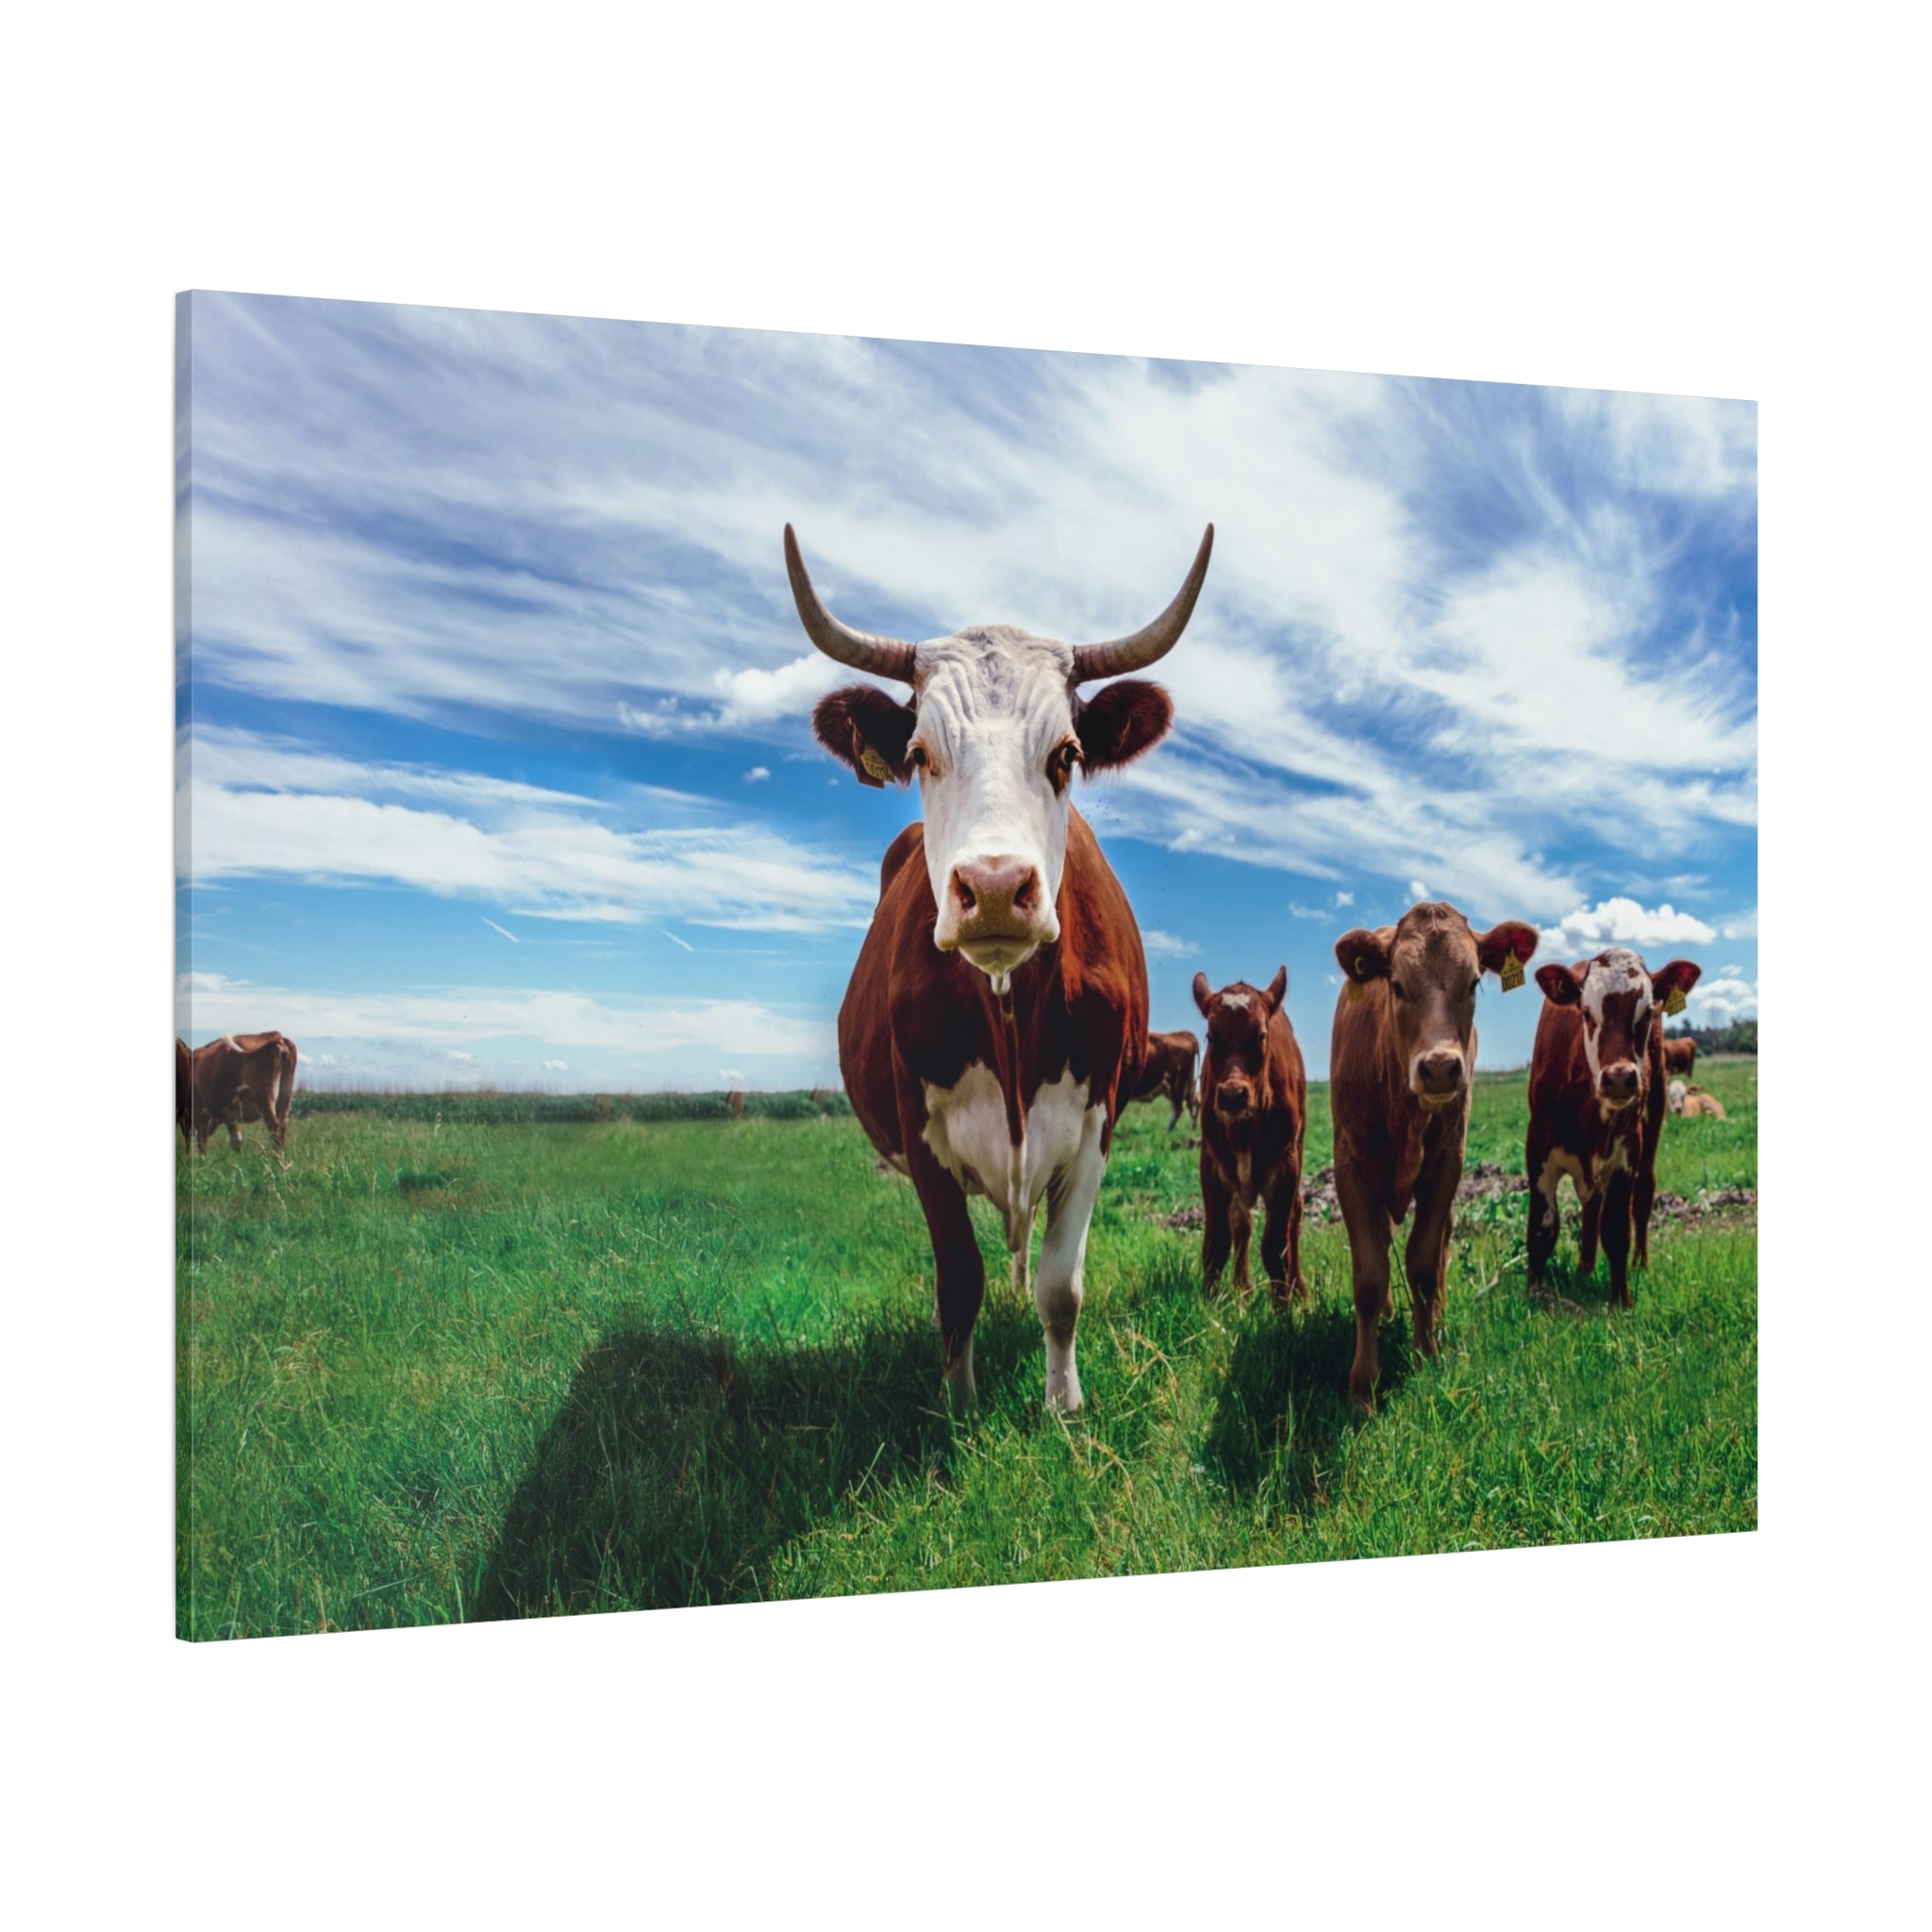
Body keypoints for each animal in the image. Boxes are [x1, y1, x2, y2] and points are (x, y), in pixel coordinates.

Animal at [188, 1031, 298, 1152]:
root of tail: (277, 1036)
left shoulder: (200, 1113)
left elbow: (202, 1144)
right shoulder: (231, 1115)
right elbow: (237, 1141)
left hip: (264, 1100)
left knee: (275, 1128)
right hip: (285, 1099)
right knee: (282, 1127)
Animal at [793, 520, 1212, 1411]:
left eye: (1067, 754)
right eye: (920, 753)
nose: (991, 888)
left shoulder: (1095, 1126)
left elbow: (1062, 1284)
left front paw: (1063, 1402)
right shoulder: (921, 1137)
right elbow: (959, 1281)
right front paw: (961, 1403)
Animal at [1192, 968, 1307, 1305]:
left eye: (1260, 1035)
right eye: (1211, 1037)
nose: (1232, 1095)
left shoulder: (1285, 1167)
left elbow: (1275, 1249)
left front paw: (1283, 1308)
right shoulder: (1211, 1164)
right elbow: (1217, 1244)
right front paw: (1211, 1305)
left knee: (1295, 1213)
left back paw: (1299, 1289)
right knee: (1241, 1222)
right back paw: (1242, 1288)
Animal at [1331, 902, 1541, 1408]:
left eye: (1474, 983)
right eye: (1397, 984)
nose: (1442, 1067)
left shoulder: (1448, 1162)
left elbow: (1424, 1261)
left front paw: (1426, 1352)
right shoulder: (1350, 1165)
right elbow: (1370, 1273)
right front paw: (1362, 1384)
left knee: (1441, 1243)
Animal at [1527, 949, 1702, 1308]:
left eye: (1647, 1012)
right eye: (1586, 1012)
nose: (1620, 1077)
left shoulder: (1626, 1152)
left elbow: (1617, 1229)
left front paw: (1621, 1299)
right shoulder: (1537, 1149)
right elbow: (1542, 1227)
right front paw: (1534, 1294)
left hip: (1655, 1112)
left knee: (1643, 1192)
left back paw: (1640, 1263)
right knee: (1591, 1205)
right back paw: (1584, 1268)